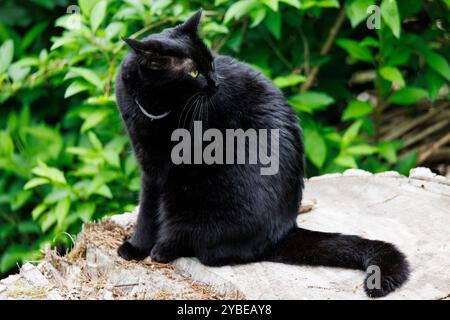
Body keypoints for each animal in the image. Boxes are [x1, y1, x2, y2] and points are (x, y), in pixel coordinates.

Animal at [114, 8, 410, 298]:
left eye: (210, 64)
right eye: (194, 73)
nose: (216, 82)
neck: (153, 111)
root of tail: (285, 230)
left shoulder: (162, 169)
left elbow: (150, 213)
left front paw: (144, 248)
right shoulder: (149, 166)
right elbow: (147, 210)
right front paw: (136, 247)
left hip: (201, 195)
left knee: (199, 241)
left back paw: (163, 250)